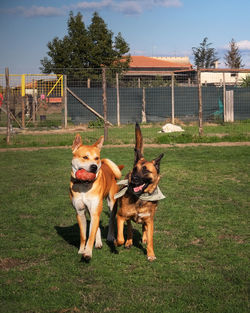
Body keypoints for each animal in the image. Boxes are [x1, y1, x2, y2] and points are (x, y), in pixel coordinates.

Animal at [114, 123, 164, 260]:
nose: (134, 179)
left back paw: (144, 238)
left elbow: (150, 238)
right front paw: (118, 242)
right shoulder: (120, 216)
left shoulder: (150, 220)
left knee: (143, 228)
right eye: (135, 169)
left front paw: (150, 254)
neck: (140, 199)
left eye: (146, 170)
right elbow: (120, 237)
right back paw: (129, 241)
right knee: (130, 227)